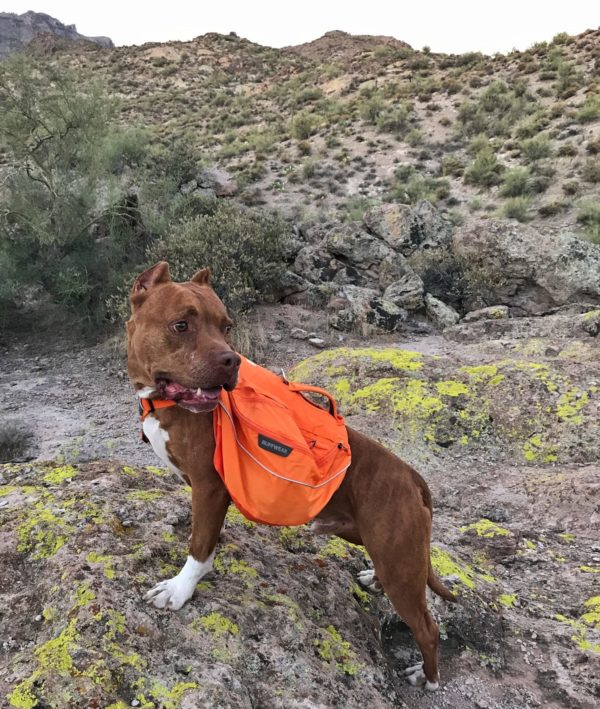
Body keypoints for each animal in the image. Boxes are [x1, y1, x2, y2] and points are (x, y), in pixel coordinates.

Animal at [126, 262, 454, 688]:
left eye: (227, 326)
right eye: (181, 325)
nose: (231, 360)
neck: (163, 403)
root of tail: (413, 477)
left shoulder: (209, 488)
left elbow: (197, 548)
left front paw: (180, 588)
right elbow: (207, 539)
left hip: (399, 558)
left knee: (427, 628)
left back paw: (427, 677)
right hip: (386, 549)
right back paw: (374, 581)